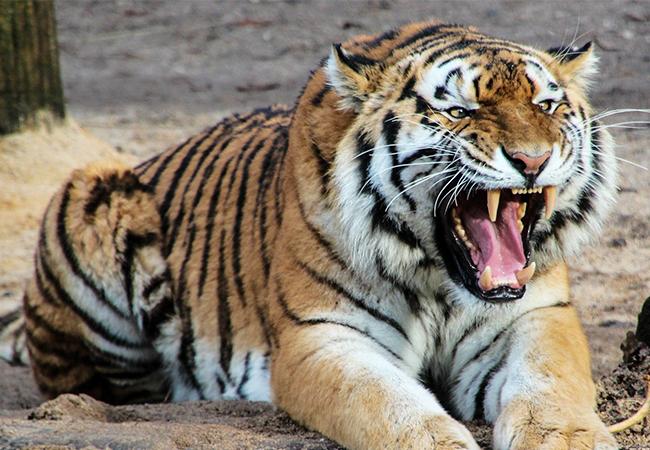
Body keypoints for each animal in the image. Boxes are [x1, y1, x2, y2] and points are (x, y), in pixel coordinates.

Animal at [1, 20, 621, 449]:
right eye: (460, 111)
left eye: (546, 104)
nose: (532, 160)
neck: (440, 280)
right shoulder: (321, 336)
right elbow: (387, 402)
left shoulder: (537, 315)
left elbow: (552, 386)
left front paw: (570, 439)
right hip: (91, 193)